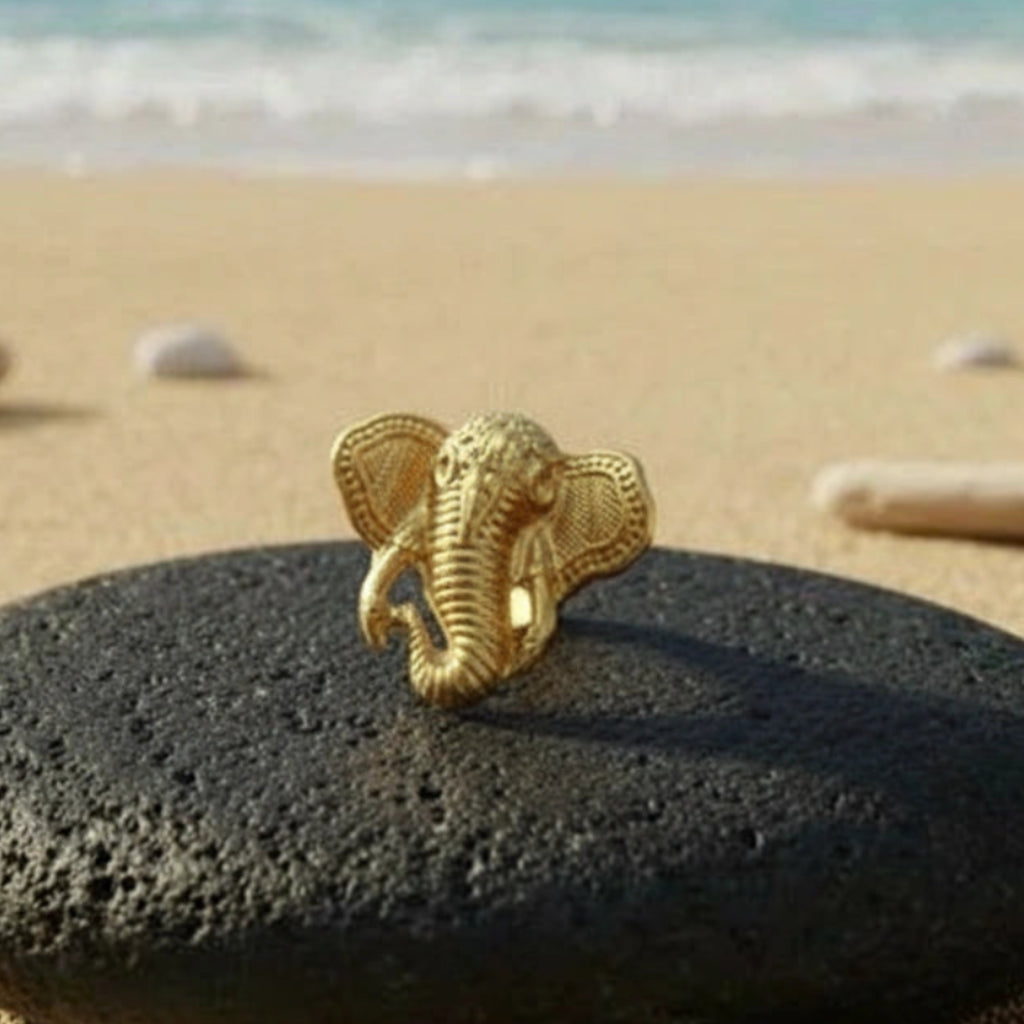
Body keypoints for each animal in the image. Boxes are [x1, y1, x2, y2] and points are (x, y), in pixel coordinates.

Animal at [331, 411, 654, 708]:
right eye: (444, 463)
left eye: (539, 481)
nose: (399, 612)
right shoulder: (421, 514)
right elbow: (399, 547)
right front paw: (373, 617)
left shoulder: (537, 538)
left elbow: (539, 577)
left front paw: (523, 653)